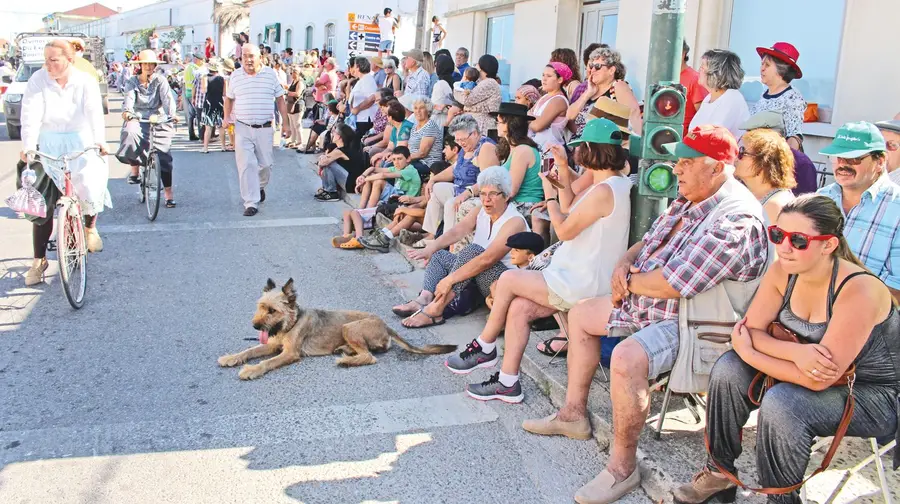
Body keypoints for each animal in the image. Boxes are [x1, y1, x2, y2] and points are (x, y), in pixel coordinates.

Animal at [218, 278, 458, 380]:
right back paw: (346, 352)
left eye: (272, 310)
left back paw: (346, 360)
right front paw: (231, 357)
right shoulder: (272, 345)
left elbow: (266, 362)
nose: (255, 326)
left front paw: (251, 370)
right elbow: (250, 350)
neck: (292, 322)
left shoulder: (289, 353)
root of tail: (385, 325)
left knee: (370, 356)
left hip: (349, 328)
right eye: (260, 306)